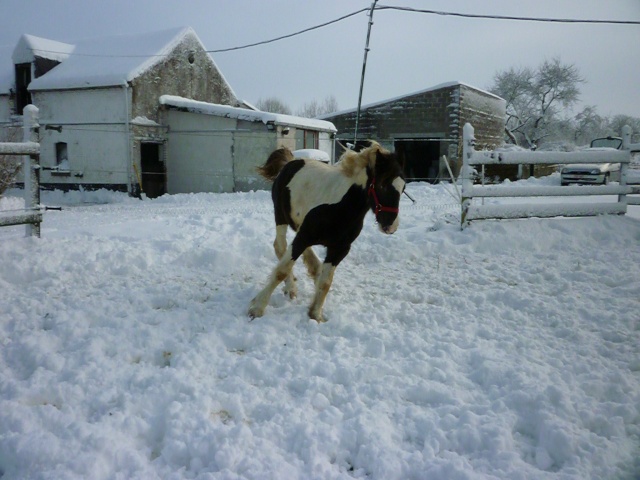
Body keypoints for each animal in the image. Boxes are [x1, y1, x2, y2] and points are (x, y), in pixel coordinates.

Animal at [248, 142, 402, 322]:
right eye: (382, 184)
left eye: (403, 187)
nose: (391, 226)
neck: (340, 208)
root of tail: (290, 161)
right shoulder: (304, 237)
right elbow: (282, 270)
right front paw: (257, 308)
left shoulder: (339, 249)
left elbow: (326, 282)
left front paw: (316, 314)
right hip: (281, 218)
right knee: (280, 246)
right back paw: (291, 288)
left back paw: (312, 271)